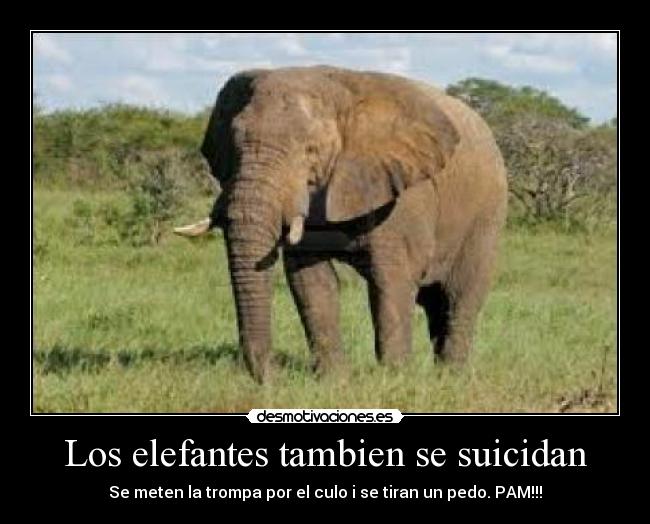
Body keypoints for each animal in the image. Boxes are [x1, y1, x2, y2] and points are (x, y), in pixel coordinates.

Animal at [175, 66, 508, 383]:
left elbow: (391, 280)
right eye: (234, 145)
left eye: (311, 150)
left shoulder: (405, 196)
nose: (274, 377)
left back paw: (451, 377)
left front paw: (394, 380)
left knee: (460, 296)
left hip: (487, 216)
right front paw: (334, 381)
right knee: (436, 303)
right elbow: (310, 279)